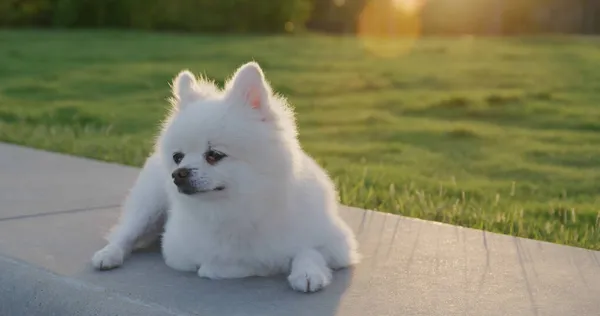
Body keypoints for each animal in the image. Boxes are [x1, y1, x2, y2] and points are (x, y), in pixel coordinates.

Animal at [91, 61, 358, 294]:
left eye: (214, 155)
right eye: (178, 157)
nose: (178, 173)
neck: (239, 208)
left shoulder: (339, 245)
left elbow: (309, 250)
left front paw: (308, 272)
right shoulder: (178, 252)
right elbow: (219, 266)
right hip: (148, 208)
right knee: (125, 234)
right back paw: (108, 254)